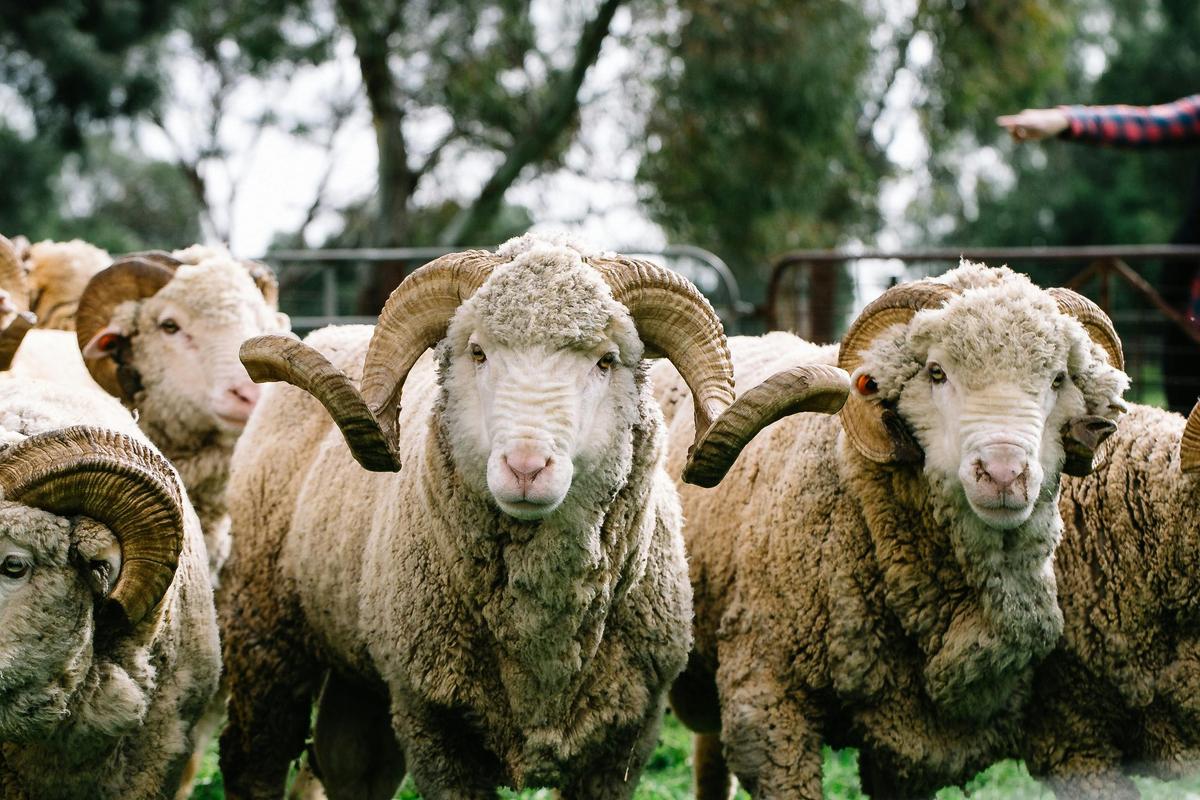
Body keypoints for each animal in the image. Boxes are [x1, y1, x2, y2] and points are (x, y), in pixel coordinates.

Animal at [216, 235, 850, 799]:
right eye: (477, 352)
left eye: (606, 360)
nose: (525, 467)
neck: (541, 644)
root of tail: (334, 329)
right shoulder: (435, 731)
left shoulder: (625, 741)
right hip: (265, 637)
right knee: (255, 761)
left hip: (360, 677)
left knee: (351, 769)